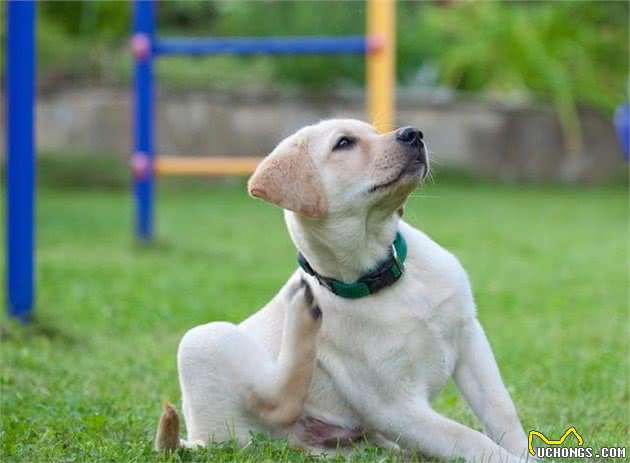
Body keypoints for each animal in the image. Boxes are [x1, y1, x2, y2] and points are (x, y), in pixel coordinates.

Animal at [156, 120, 532, 463]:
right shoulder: (394, 406)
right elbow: (471, 439)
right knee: (277, 403)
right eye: (344, 143)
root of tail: (199, 435)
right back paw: (302, 314)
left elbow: (501, 411)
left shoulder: (470, 337)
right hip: (203, 340)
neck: (381, 274)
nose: (414, 133)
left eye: (375, 132)